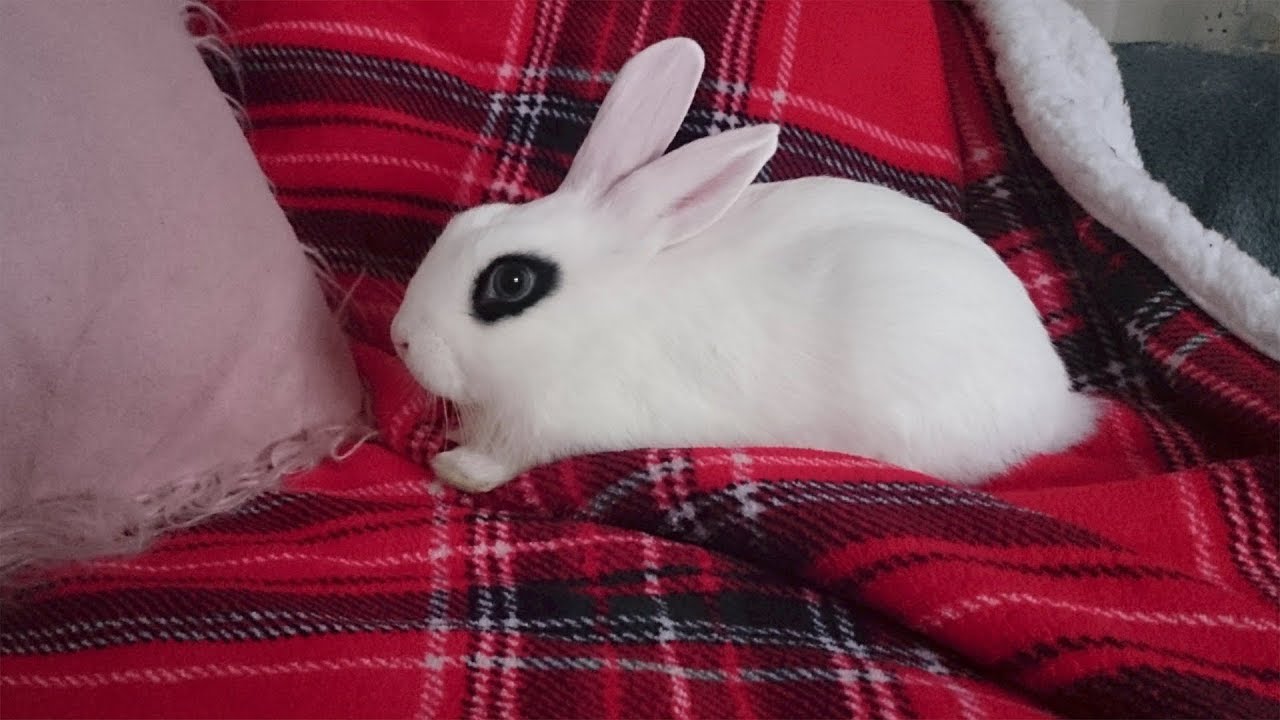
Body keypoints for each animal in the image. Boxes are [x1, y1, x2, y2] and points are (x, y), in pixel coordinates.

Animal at [390, 36, 1099, 493]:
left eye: (511, 282)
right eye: (465, 223)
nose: (400, 339)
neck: (596, 316)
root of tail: (1055, 400)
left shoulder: (564, 425)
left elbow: (511, 460)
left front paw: (458, 470)